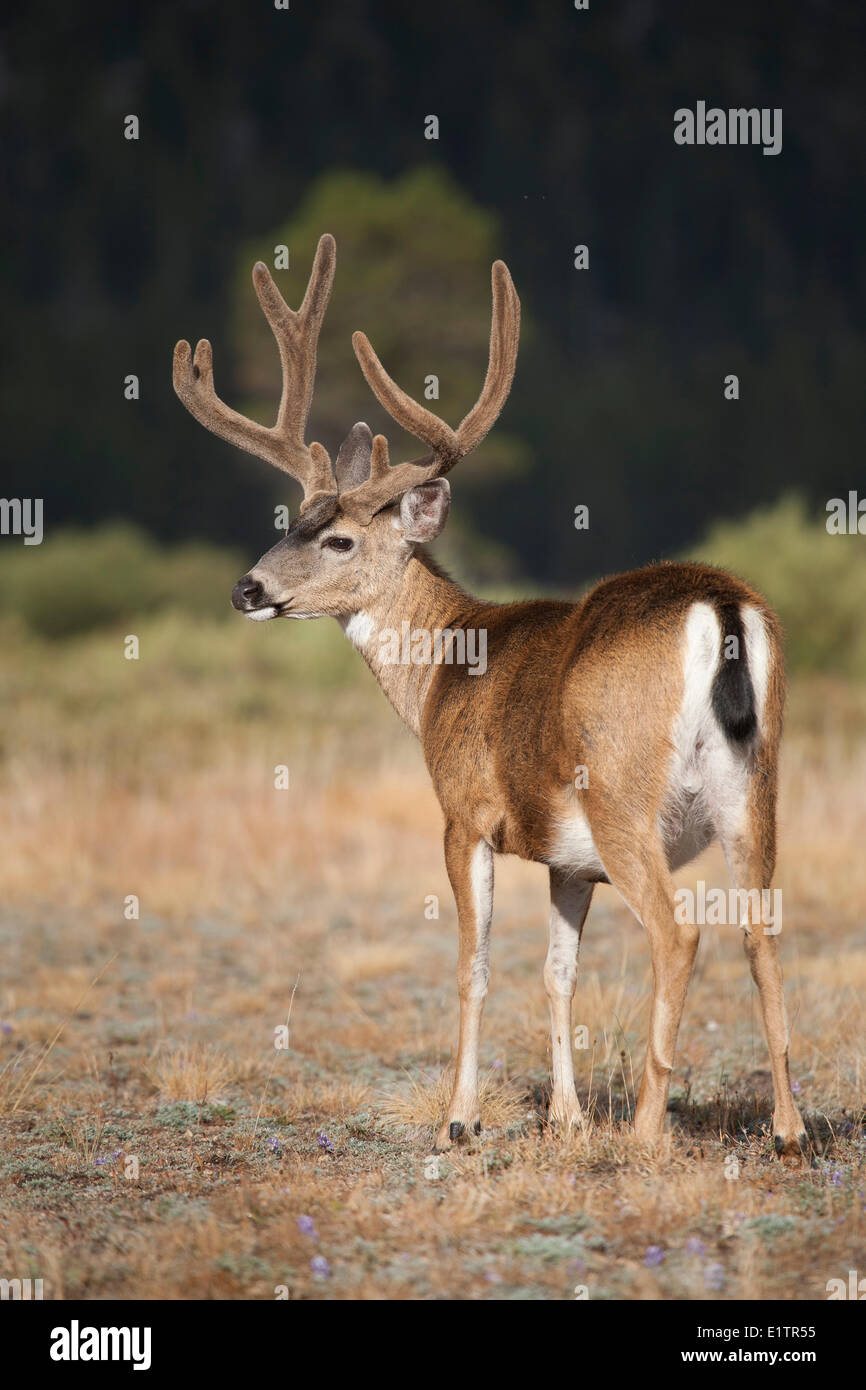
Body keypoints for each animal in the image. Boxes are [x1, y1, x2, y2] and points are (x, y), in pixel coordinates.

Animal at [173, 233, 807, 1160]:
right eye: (291, 520)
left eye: (339, 538)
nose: (245, 589)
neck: (442, 665)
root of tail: (720, 605)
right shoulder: (568, 859)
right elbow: (557, 973)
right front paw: (568, 1118)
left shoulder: (464, 812)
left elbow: (472, 967)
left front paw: (460, 1118)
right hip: (756, 787)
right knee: (763, 928)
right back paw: (788, 1127)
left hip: (623, 793)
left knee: (681, 931)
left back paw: (646, 1128)